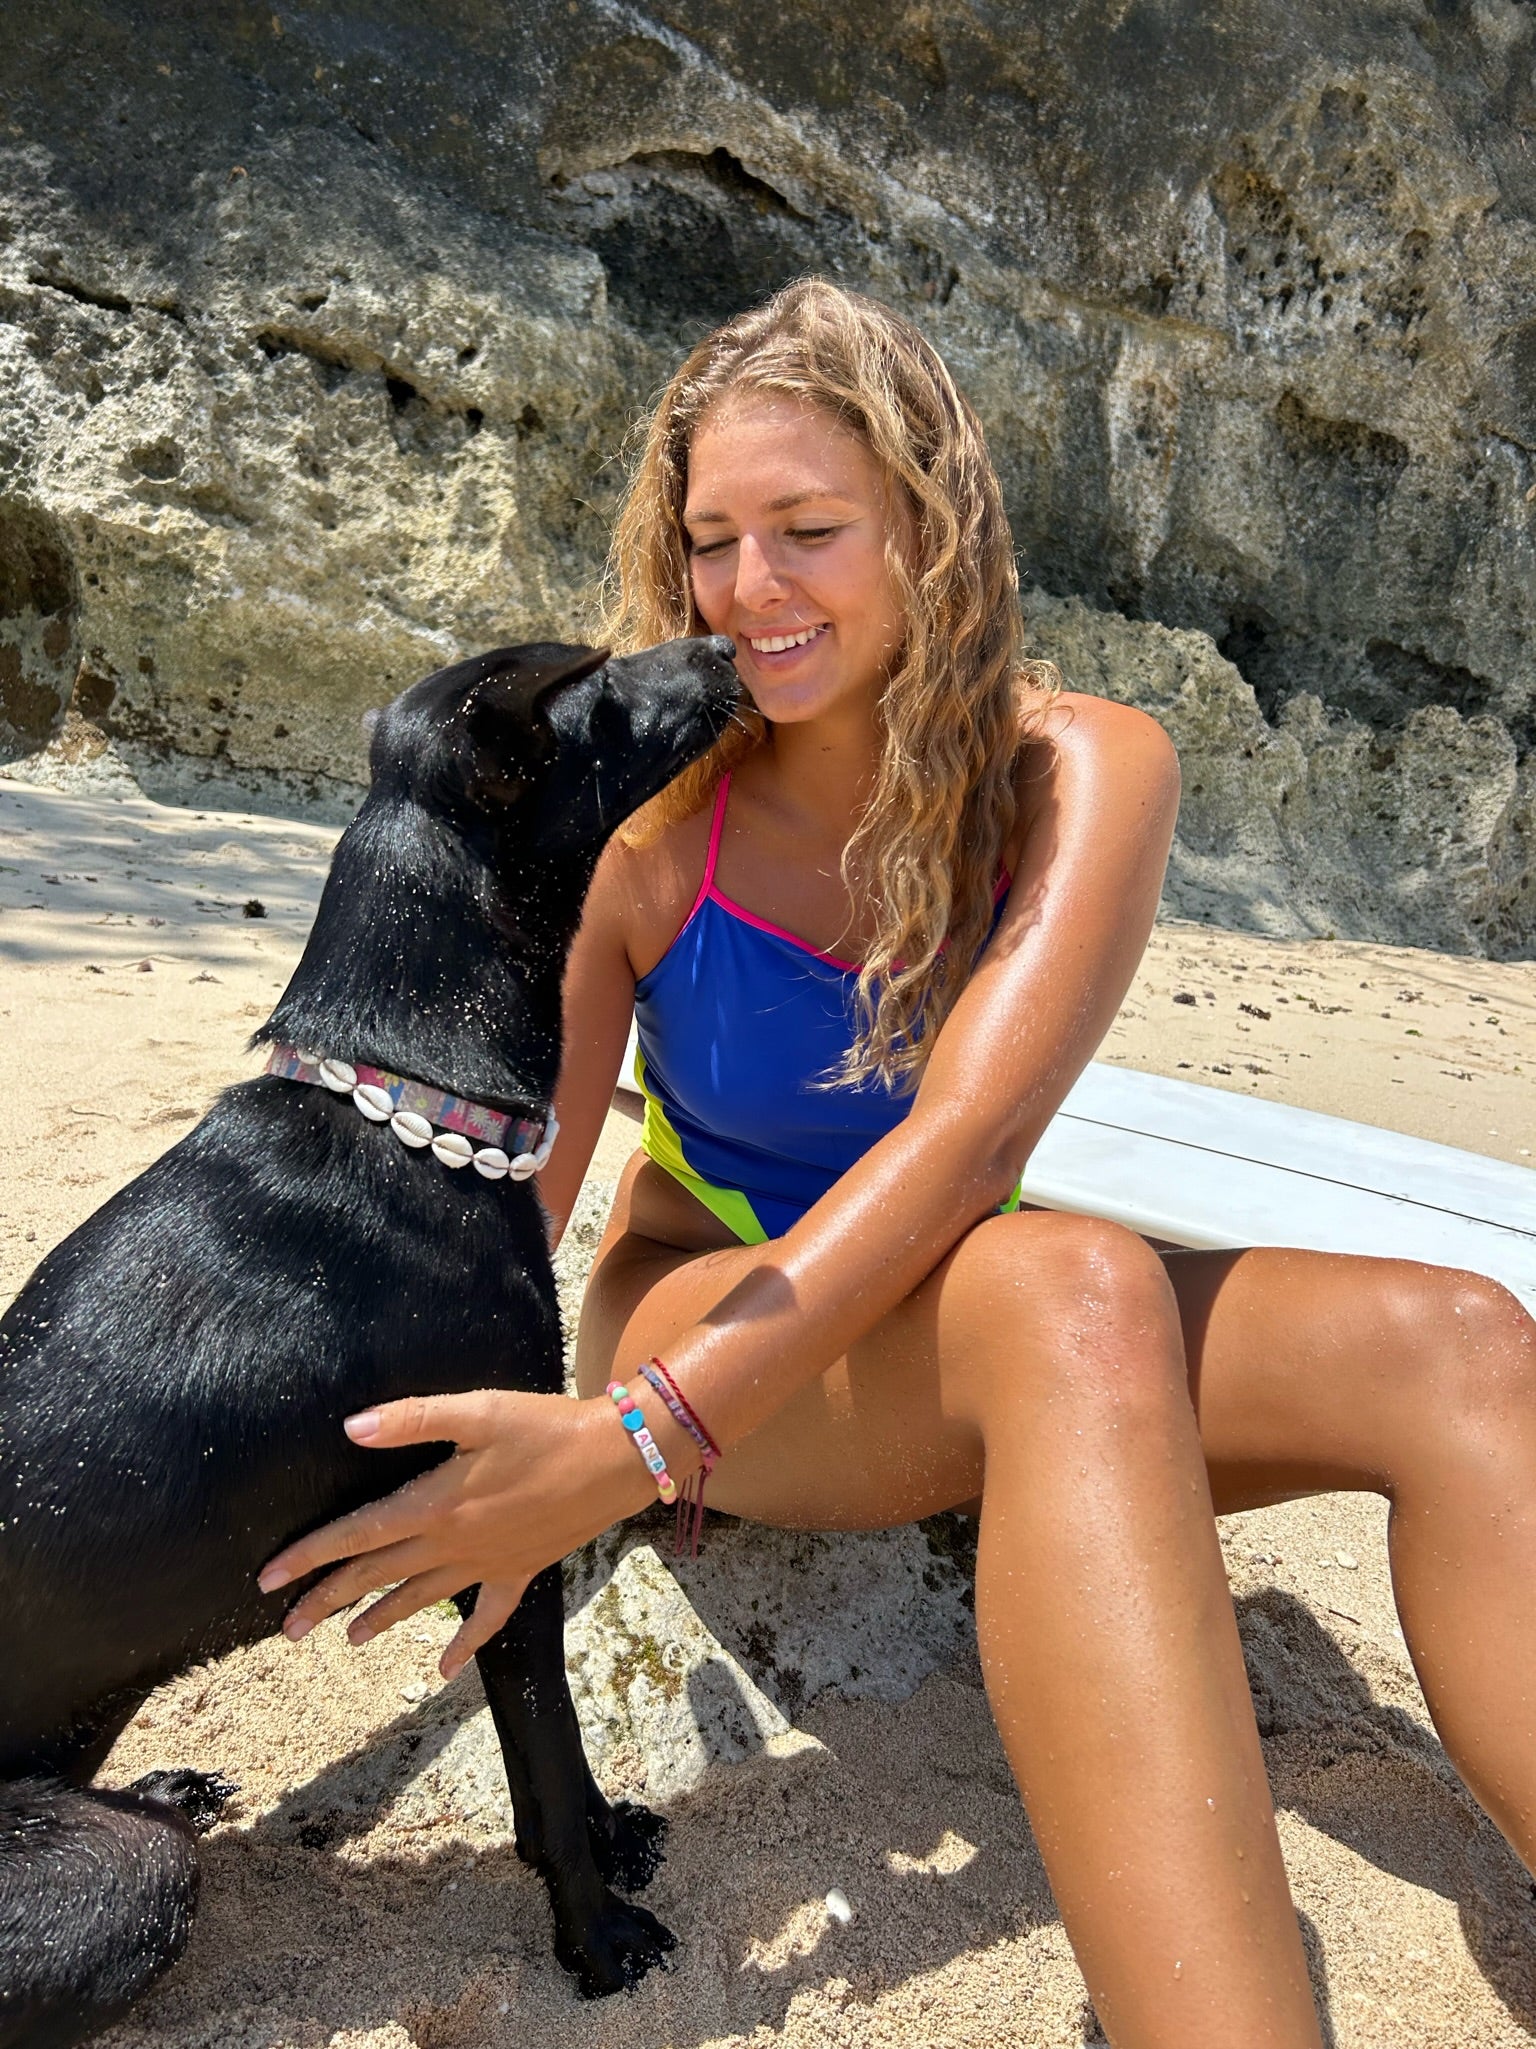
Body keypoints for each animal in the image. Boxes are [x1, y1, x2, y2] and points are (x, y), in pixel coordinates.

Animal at [0, 633, 740, 2048]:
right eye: (607, 689)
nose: (725, 643)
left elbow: (550, 1753)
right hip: (123, 1882)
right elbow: (545, 1759)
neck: (404, 1105)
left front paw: (611, 1844)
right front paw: (598, 1939)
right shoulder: (495, 1530)